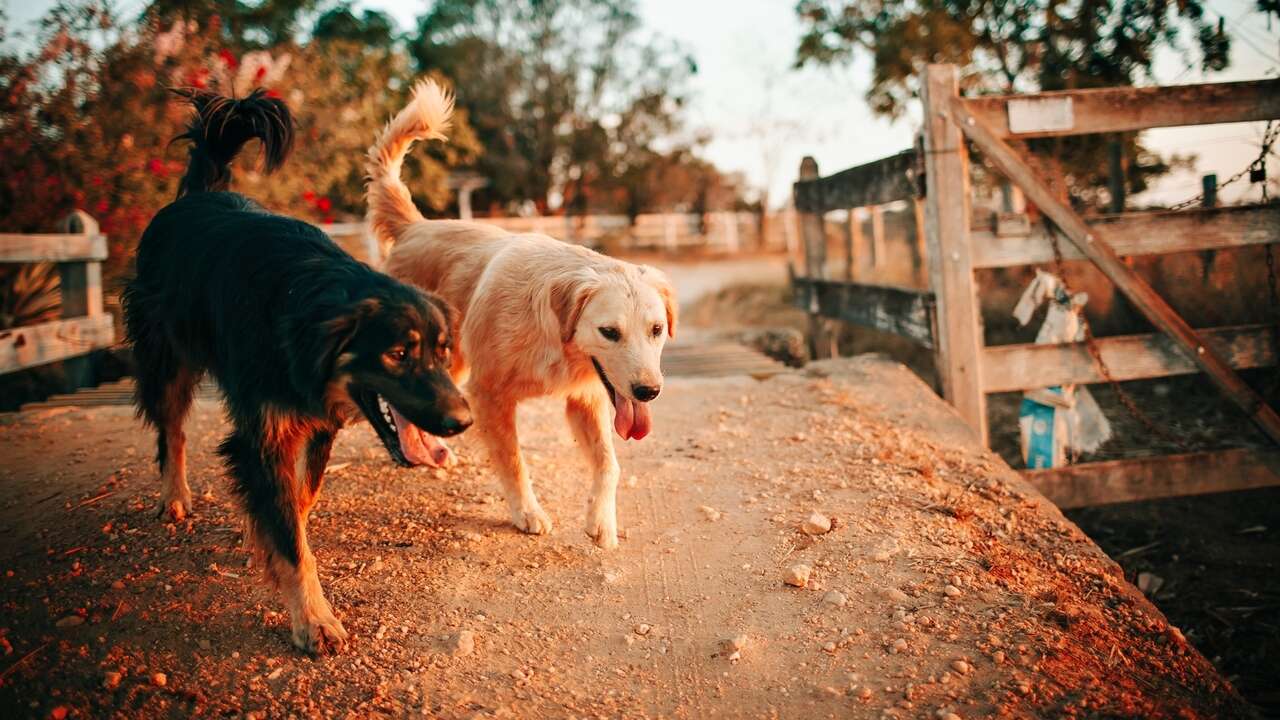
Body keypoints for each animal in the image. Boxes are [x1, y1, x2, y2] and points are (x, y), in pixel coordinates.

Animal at [119, 88, 471, 650]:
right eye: (397, 354)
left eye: (442, 351)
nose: (463, 422)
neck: (304, 309)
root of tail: (196, 196)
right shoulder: (262, 433)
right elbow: (287, 534)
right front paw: (313, 618)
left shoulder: (317, 423)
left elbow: (298, 503)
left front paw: (265, 534)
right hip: (166, 358)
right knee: (170, 430)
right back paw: (174, 496)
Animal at [366, 79, 675, 548]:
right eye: (609, 332)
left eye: (656, 330)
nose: (648, 392)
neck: (553, 338)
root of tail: (415, 226)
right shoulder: (490, 395)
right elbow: (513, 462)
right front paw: (527, 512)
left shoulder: (585, 399)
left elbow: (610, 464)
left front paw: (601, 521)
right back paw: (417, 450)